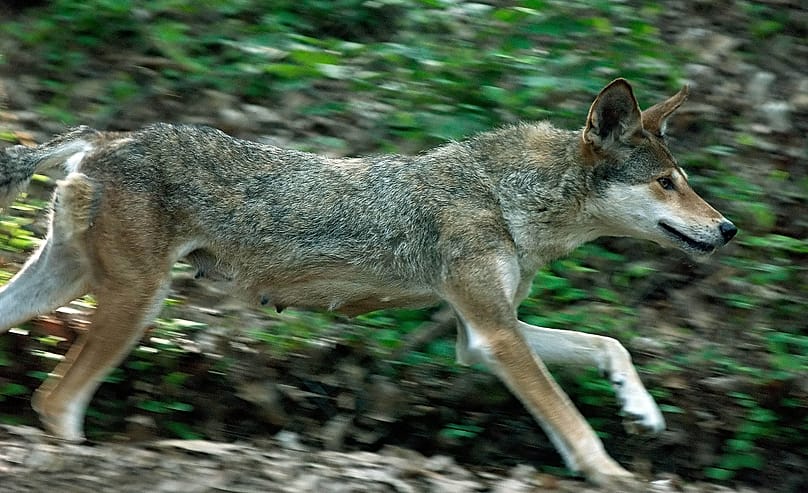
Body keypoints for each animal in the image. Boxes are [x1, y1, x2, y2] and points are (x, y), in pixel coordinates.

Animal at [0, 78, 735, 487]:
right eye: (666, 182)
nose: (727, 228)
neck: (507, 197)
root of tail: (103, 139)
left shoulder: (477, 335)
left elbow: (611, 344)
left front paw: (642, 411)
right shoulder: (496, 336)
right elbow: (571, 421)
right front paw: (611, 473)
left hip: (69, 286)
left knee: (44, 391)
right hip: (137, 302)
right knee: (56, 398)